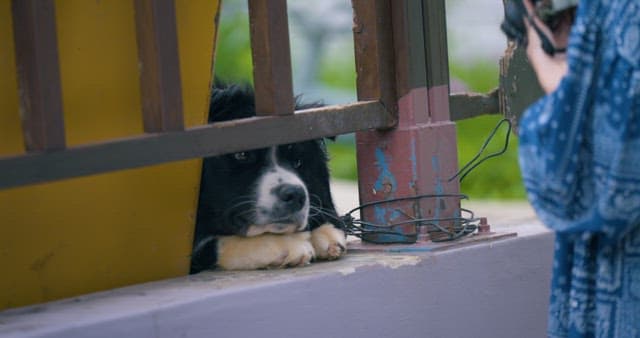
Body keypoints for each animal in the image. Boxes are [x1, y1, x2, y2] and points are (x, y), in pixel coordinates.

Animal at [191, 83, 344, 274]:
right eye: (242, 155)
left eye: (298, 162)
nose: (295, 195)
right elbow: (210, 245)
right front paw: (284, 245)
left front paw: (323, 231)